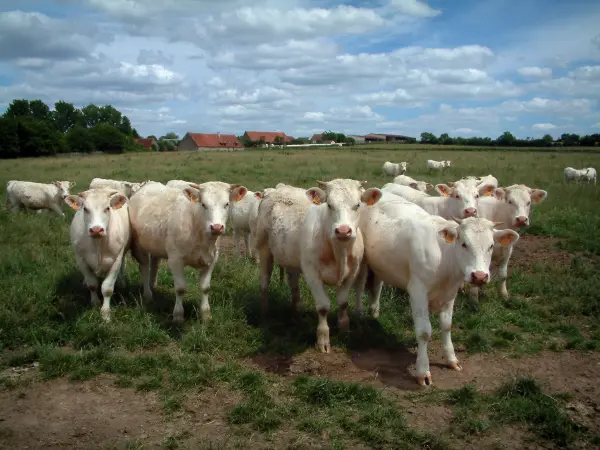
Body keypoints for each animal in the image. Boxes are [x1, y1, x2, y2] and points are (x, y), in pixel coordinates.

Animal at [63, 186, 131, 320]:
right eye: (85, 209)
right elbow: (92, 284)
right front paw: (95, 302)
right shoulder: (81, 259)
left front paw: (105, 312)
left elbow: (107, 288)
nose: (96, 229)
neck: (98, 244)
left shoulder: (116, 259)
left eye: (107, 208)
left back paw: (121, 282)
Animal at [298, 178, 380, 352]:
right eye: (329, 205)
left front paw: (344, 327)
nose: (343, 230)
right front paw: (323, 338)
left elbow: (343, 301)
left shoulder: (352, 272)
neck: (339, 252)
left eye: (357, 205)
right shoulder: (311, 274)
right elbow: (323, 306)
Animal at [356, 192, 520, 384]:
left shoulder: (450, 293)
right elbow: (424, 332)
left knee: (377, 283)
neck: (445, 259)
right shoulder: (417, 291)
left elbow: (447, 325)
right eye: (464, 244)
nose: (479, 276)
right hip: (362, 261)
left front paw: (451, 359)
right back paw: (359, 316)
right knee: (359, 285)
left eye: (491, 246)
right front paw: (423, 371)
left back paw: (374, 311)